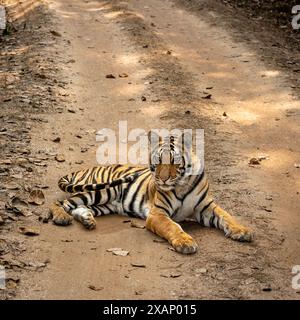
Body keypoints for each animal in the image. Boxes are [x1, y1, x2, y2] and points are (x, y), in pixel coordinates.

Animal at [50, 131, 254, 254]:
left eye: (174, 161)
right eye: (158, 159)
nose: (162, 179)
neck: (182, 183)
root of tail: (86, 169)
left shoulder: (206, 207)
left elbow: (227, 216)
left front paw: (242, 231)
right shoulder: (158, 214)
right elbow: (173, 226)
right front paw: (185, 243)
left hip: (105, 204)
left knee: (79, 207)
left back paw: (87, 221)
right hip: (103, 190)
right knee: (62, 203)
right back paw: (61, 217)